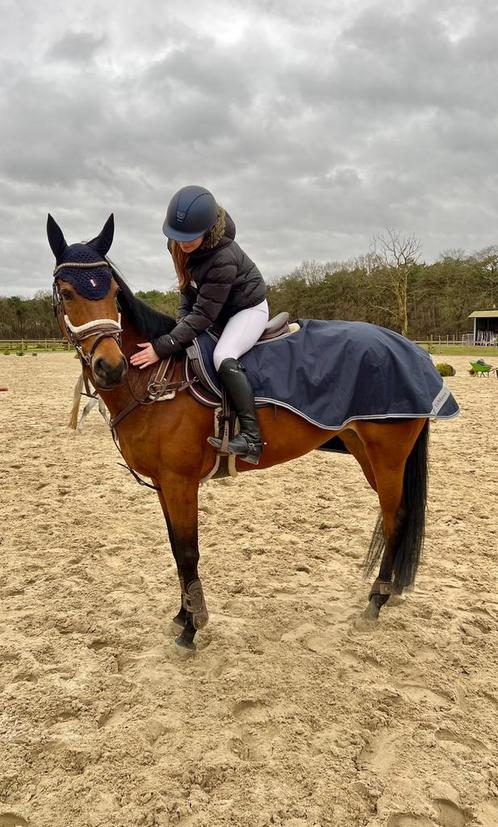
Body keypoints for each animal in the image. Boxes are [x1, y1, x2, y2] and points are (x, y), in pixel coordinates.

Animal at [48, 215, 432, 652]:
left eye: (113, 291)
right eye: (66, 292)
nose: (111, 367)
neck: (155, 377)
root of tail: (412, 349)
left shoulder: (180, 483)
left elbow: (188, 553)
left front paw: (192, 628)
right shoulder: (164, 485)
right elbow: (175, 549)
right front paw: (182, 615)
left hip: (388, 456)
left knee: (395, 517)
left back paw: (376, 601)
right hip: (365, 451)